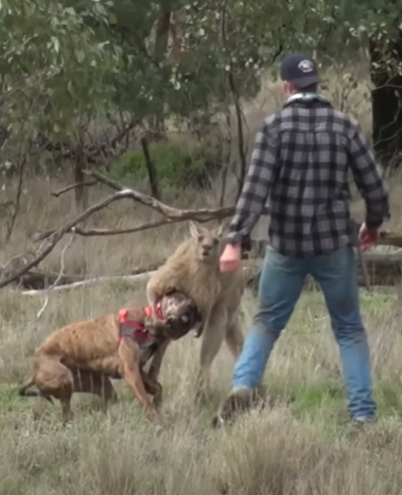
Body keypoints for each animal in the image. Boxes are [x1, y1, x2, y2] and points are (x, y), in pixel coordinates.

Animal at [18, 292, 201, 424]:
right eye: (177, 298)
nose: (192, 306)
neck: (147, 322)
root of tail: (35, 370)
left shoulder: (139, 369)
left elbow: (157, 388)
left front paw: (158, 402)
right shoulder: (130, 370)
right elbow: (145, 400)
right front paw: (158, 420)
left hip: (98, 384)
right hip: (65, 377)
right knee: (67, 411)